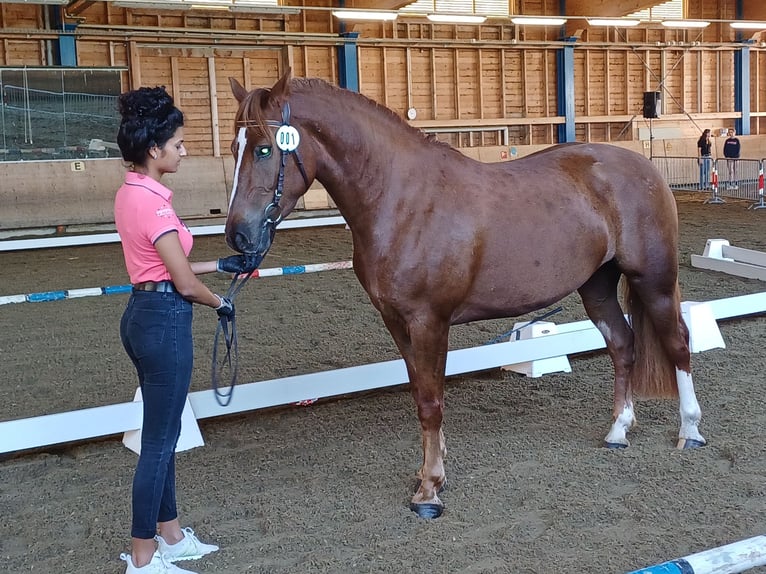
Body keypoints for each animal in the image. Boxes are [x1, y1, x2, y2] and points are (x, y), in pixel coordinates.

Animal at [224, 70, 708, 520]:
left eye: (265, 148)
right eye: (234, 147)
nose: (238, 236)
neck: (402, 200)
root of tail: (644, 168)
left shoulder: (429, 321)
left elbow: (431, 402)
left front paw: (429, 492)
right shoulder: (397, 323)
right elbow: (421, 392)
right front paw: (430, 472)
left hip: (653, 282)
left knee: (678, 343)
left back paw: (690, 431)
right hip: (599, 287)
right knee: (623, 346)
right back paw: (618, 432)